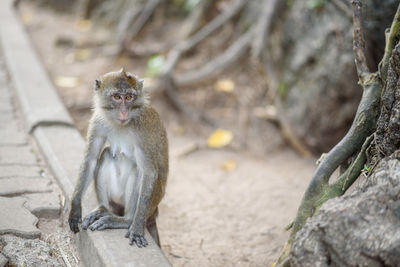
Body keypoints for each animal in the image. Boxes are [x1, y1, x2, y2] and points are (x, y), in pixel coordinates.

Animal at [68, 68, 168, 248]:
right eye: (117, 97)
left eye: (129, 97)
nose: (123, 111)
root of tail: (155, 212)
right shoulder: (98, 121)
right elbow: (91, 159)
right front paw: (75, 207)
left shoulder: (144, 129)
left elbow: (149, 172)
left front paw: (136, 228)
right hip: (117, 200)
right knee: (107, 154)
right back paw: (103, 209)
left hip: (152, 202)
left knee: (138, 171)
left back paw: (126, 220)